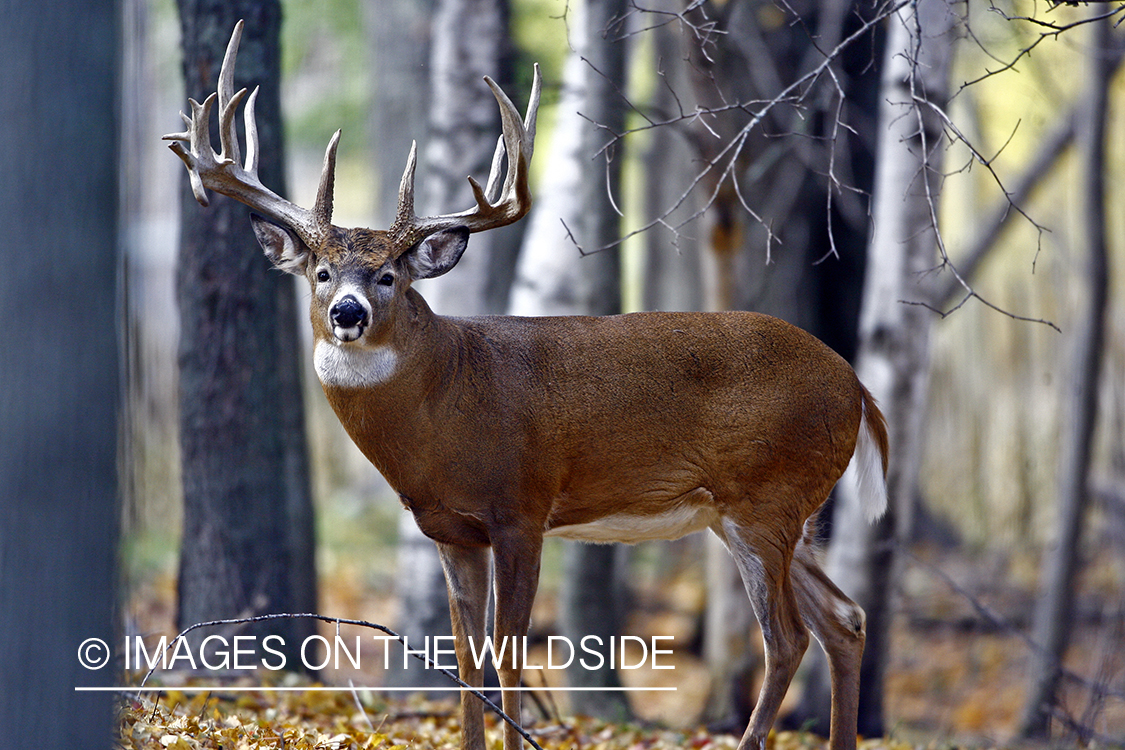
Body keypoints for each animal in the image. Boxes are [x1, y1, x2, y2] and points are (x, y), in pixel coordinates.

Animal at [164, 20, 886, 750]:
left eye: (389, 275)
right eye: (320, 273)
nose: (348, 313)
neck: (447, 402)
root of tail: (856, 386)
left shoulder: (522, 506)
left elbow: (507, 650)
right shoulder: (450, 528)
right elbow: (464, 654)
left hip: (766, 495)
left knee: (788, 637)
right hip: (781, 511)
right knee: (845, 618)